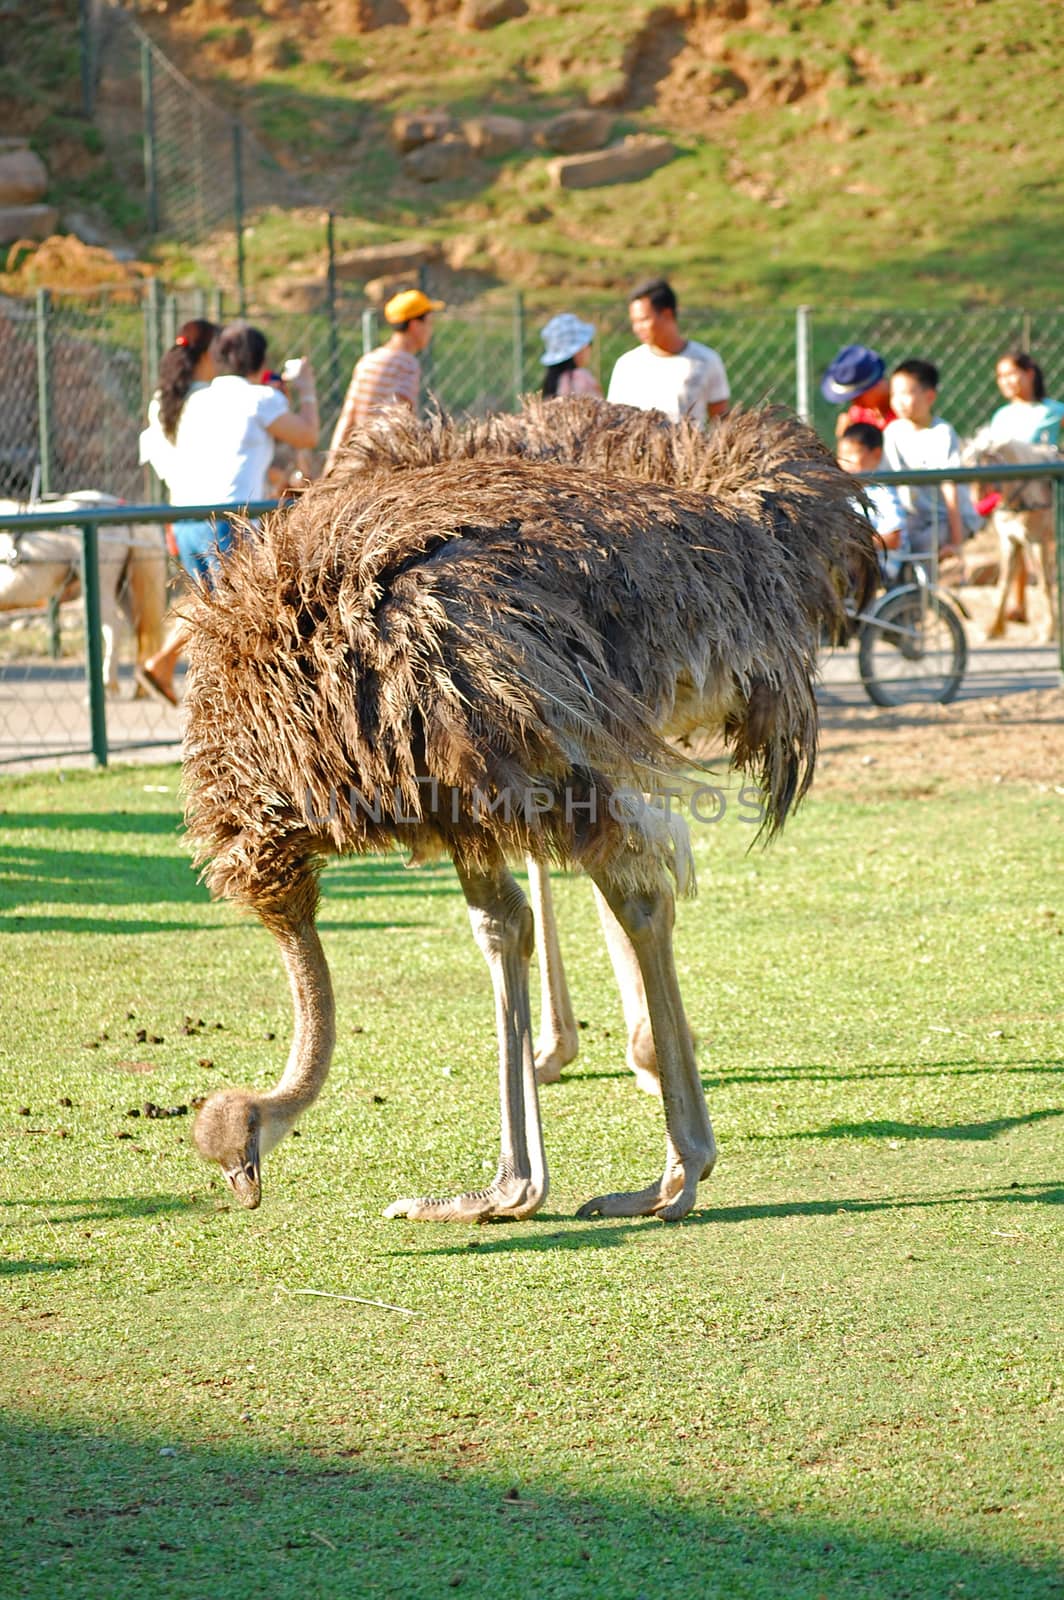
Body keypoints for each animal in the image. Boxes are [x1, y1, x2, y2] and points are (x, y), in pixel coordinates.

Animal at [0, 489, 168, 697]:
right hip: (123, 589)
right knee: (140, 630)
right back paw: (141, 686)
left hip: (103, 585)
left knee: (115, 627)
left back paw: (107, 684)